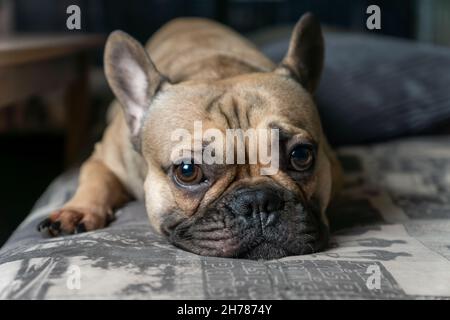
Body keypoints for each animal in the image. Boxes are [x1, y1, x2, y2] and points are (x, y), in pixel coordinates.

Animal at [38, 13, 342, 260]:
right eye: (187, 171)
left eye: (301, 156)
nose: (257, 201)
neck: (215, 70)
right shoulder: (105, 158)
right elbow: (95, 179)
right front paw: (77, 210)